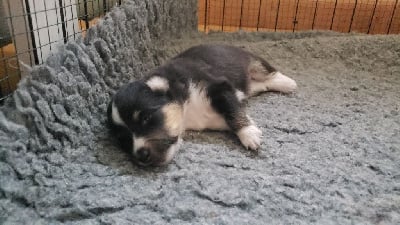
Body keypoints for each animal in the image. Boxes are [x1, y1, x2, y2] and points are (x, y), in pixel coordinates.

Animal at [107, 44, 296, 167]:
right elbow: (233, 112)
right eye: (124, 139)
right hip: (250, 85)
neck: (187, 108)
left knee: (268, 72)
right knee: (261, 85)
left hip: (250, 62)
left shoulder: (218, 86)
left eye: (146, 118)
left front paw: (249, 135)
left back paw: (288, 83)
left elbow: (232, 111)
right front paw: (248, 129)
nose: (141, 156)